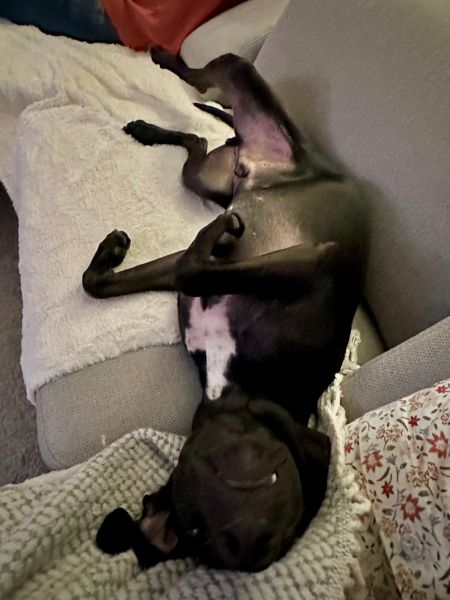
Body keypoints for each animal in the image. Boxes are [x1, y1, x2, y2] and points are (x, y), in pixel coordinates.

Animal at [84, 48, 368, 572]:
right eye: (197, 529)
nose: (253, 545)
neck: (236, 387)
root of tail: (311, 159)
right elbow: (106, 283)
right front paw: (113, 252)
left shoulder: (314, 260)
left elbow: (189, 269)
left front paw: (213, 236)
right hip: (220, 152)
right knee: (204, 102)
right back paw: (158, 84)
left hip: (225, 147)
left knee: (204, 120)